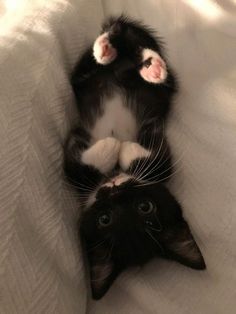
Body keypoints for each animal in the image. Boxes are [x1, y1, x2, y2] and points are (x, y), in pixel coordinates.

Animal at [64, 16, 205, 300]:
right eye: (104, 219)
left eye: (145, 207)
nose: (114, 189)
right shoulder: (74, 142)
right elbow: (72, 168)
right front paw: (113, 146)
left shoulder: (155, 131)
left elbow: (164, 164)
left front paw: (124, 148)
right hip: (85, 81)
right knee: (104, 57)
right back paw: (114, 51)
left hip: (159, 93)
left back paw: (143, 64)